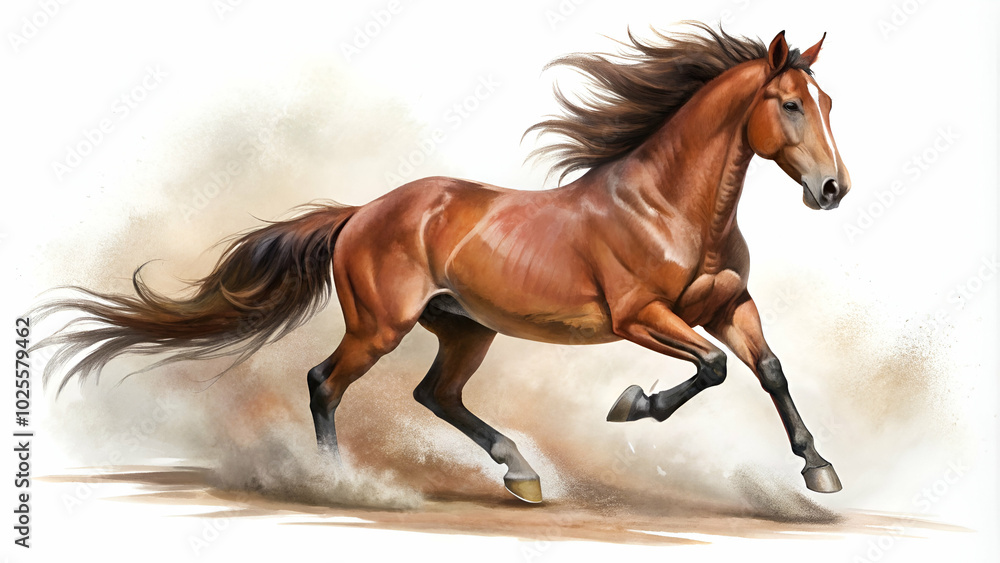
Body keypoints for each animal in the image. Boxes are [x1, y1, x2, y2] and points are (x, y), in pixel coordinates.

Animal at [35, 25, 851, 504]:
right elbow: (711, 369)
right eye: (789, 104)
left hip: (465, 328)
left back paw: (521, 473)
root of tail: (360, 213)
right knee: (324, 381)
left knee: (436, 394)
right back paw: (339, 481)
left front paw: (819, 468)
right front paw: (630, 404)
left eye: (830, 102)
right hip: (381, 326)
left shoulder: (727, 305)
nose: (832, 189)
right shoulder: (639, 317)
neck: (670, 209)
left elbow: (768, 369)